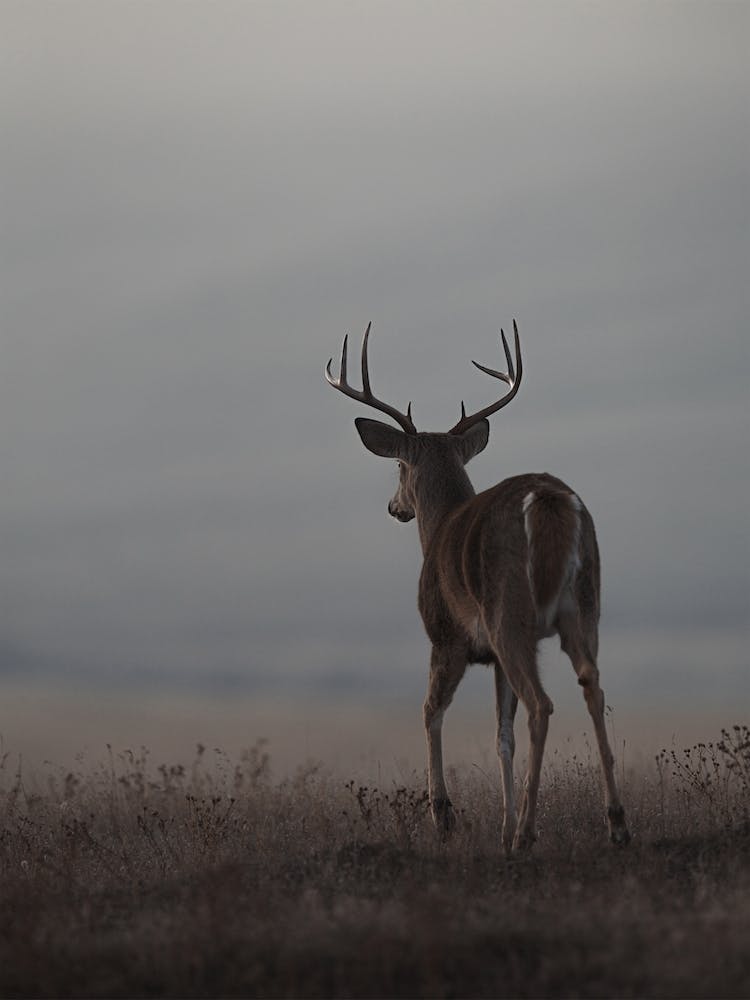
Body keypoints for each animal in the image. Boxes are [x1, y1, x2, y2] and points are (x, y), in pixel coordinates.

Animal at [325, 321, 630, 852]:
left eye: (398, 466)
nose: (394, 506)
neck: (440, 526)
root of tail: (547, 499)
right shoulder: (492, 658)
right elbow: (501, 735)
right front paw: (501, 828)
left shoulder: (446, 636)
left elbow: (430, 711)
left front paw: (444, 815)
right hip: (585, 604)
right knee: (592, 687)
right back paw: (614, 822)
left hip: (509, 612)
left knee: (542, 704)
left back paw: (529, 832)